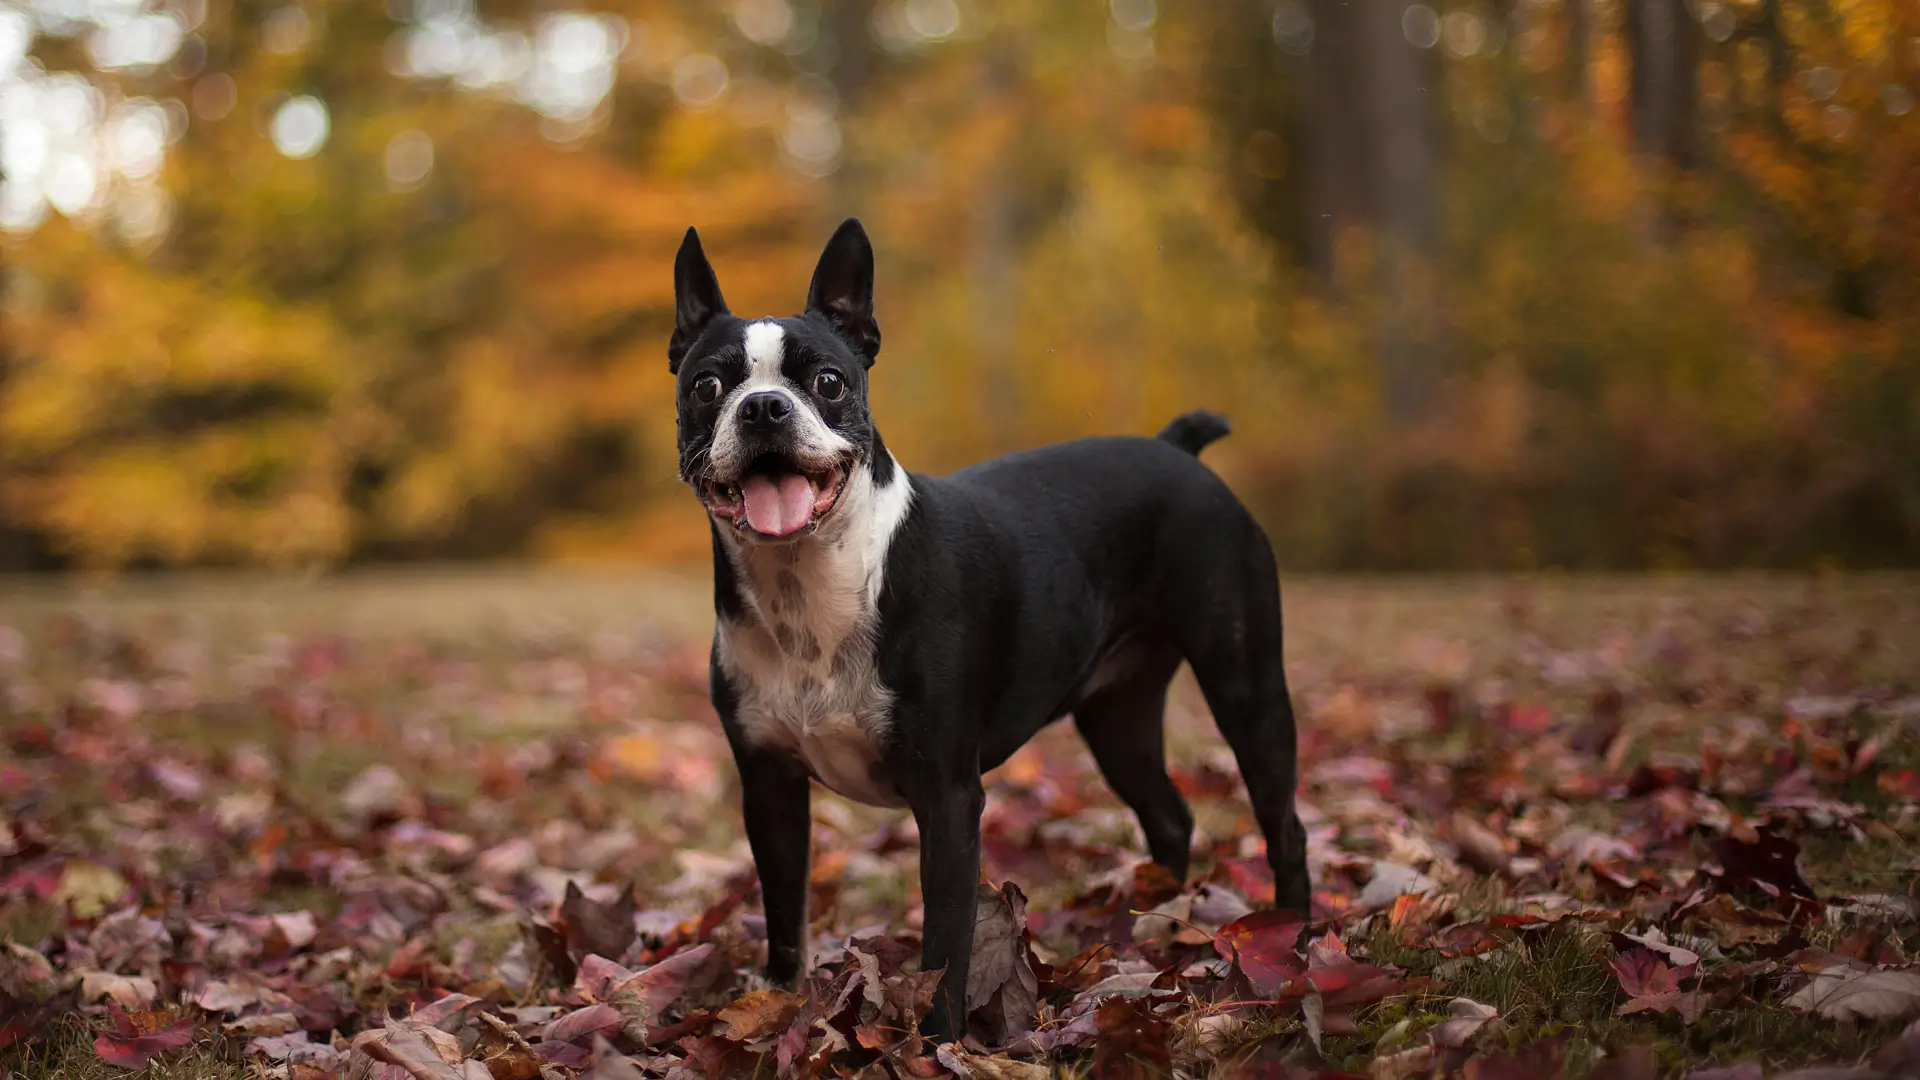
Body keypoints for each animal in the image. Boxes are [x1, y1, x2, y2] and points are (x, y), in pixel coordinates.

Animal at [668, 216, 1313, 1037]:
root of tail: (1176, 449)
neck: (809, 588)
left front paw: (936, 1042)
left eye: (828, 382)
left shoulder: (947, 797)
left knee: (1281, 820)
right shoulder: (769, 786)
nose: (763, 408)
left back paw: (1295, 942)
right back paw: (1147, 930)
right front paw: (777, 1009)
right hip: (1118, 713)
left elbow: (946, 942)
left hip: (1245, 685)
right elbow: (786, 917)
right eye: (708, 386)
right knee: (1168, 815)